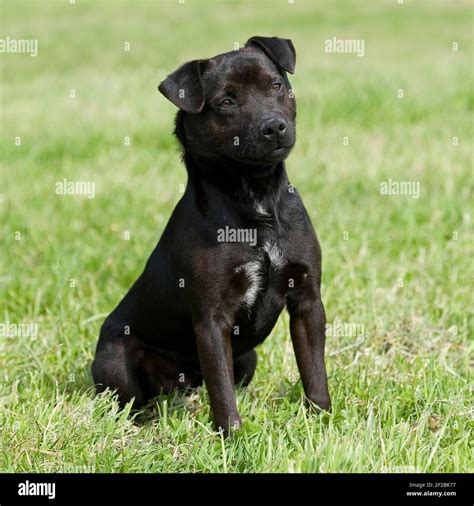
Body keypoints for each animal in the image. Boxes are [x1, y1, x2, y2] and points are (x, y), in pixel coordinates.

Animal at [91, 35, 330, 432]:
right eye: (226, 102)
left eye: (276, 86)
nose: (274, 127)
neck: (255, 199)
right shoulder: (211, 319)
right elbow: (221, 391)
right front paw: (232, 436)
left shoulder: (307, 300)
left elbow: (314, 371)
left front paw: (322, 420)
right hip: (116, 357)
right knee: (133, 399)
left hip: (247, 358)